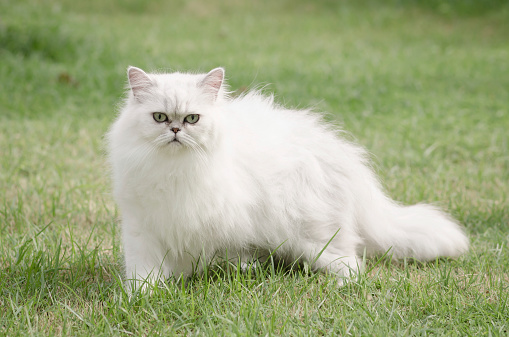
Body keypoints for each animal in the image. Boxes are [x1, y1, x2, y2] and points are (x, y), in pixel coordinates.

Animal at [107, 66, 468, 288]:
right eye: (160, 117)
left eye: (192, 118)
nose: (175, 131)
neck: (171, 168)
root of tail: (345, 156)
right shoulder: (143, 228)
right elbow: (144, 271)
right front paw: (144, 296)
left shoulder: (191, 219)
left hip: (316, 236)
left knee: (352, 263)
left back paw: (341, 285)